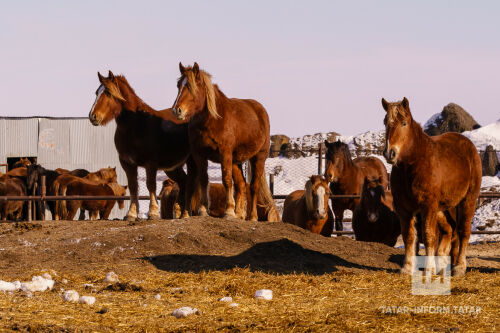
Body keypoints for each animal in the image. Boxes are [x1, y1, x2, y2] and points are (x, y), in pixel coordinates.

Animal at [88, 70, 193, 220]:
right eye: (97, 92)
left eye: (108, 93)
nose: (93, 116)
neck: (136, 125)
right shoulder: (127, 163)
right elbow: (133, 186)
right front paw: (131, 214)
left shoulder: (151, 164)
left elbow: (151, 185)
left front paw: (153, 212)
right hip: (173, 167)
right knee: (184, 182)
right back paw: (180, 213)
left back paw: (186, 213)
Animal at [170, 63, 276, 220]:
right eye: (179, 85)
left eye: (191, 86)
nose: (177, 110)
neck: (212, 120)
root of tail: (260, 110)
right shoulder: (199, 154)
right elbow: (203, 179)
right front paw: (203, 210)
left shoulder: (225, 153)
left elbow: (226, 180)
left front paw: (228, 211)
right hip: (236, 161)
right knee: (241, 185)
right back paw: (239, 215)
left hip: (259, 157)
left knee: (253, 186)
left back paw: (252, 216)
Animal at [380, 96, 482, 274]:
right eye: (386, 122)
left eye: (404, 123)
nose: (389, 153)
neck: (414, 165)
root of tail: (468, 145)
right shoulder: (404, 209)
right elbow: (409, 236)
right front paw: (407, 268)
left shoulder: (427, 207)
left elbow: (428, 236)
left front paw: (429, 269)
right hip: (445, 208)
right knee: (450, 230)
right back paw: (444, 264)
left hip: (467, 201)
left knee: (463, 231)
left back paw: (459, 267)